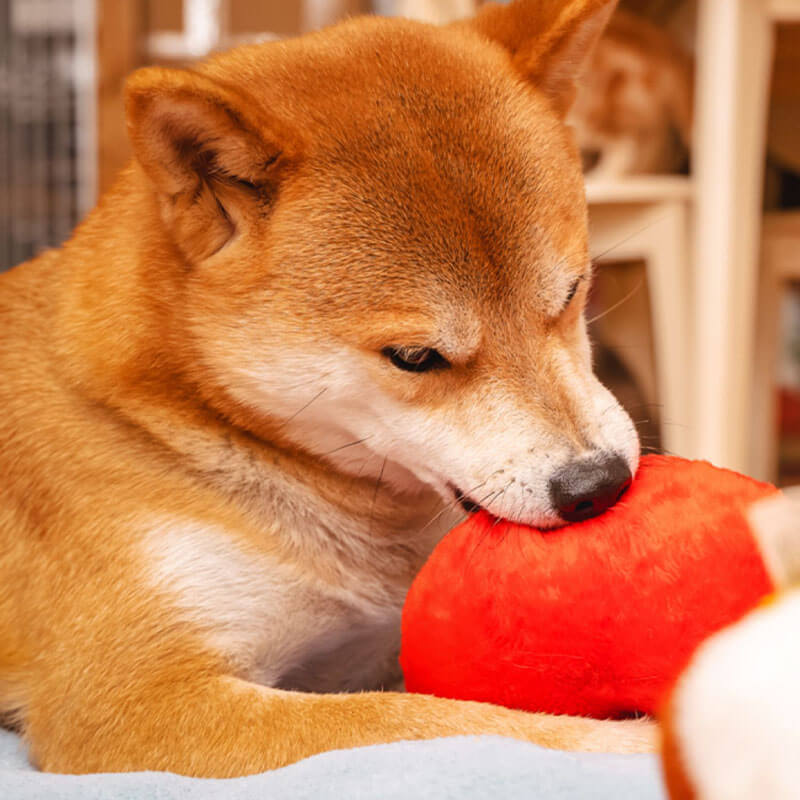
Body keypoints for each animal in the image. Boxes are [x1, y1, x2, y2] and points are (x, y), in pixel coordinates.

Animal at [0, 0, 648, 776]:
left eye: (573, 293)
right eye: (414, 357)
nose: (599, 484)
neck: (168, 414)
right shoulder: (134, 705)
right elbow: (445, 721)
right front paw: (644, 736)